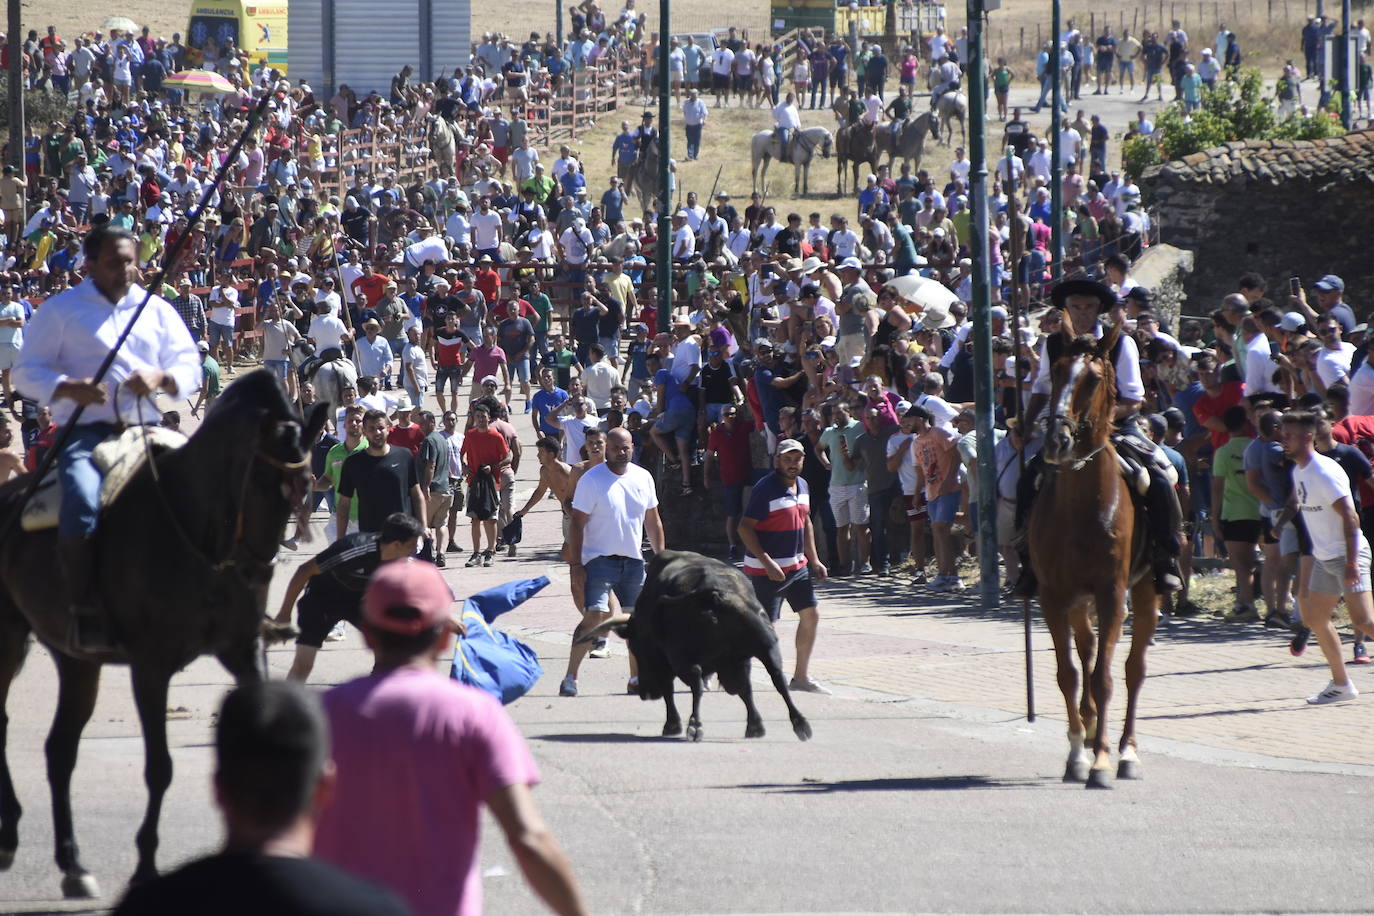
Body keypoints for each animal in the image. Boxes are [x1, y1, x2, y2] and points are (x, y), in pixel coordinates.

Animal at [0, 368, 327, 900]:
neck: (200, 536)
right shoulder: (150, 666)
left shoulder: (241, 651)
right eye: (258, 482)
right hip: (9, 636)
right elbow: (160, 767)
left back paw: (72, 863)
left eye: (304, 485)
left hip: (76, 659)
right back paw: (12, 836)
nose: (258, 574)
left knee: (61, 748)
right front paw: (145, 866)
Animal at [574, 549, 807, 741]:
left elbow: (669, 689)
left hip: (683, 657)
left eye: (635, 649)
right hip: (766, 646)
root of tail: (714, 595)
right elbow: (745, 689)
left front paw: (672, 725)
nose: (645, 693)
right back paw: (798, 724)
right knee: (777, 678)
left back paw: (694, 726)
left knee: (695, 684)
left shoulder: (665, 661)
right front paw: (755, 726)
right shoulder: (737, 662)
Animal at [1033, 328, 1159, 791]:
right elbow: (1068, 673)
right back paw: (1088, 730)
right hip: (1077, 601)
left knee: (1133, 669)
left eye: (1093, 379)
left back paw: (1127, 751)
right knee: (1086, 653)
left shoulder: (1111, 594)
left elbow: (1105, 677)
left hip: (1147, 591)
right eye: (1055, 371)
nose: (1057, 440)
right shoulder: (1053, 596)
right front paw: (1076, 755)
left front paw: (1102, 761)